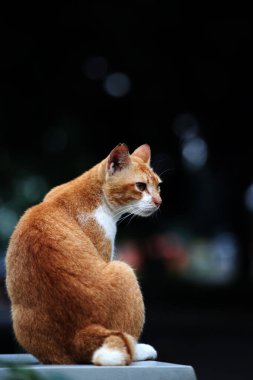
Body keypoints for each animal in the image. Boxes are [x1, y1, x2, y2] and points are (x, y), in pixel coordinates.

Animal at [5, 142, 162, 366]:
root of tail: (79, 333)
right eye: (140, 186)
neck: (93, 192)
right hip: (124, 270)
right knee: (127, 344)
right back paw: (142, 350)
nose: (159, 202)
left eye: (159, 186)